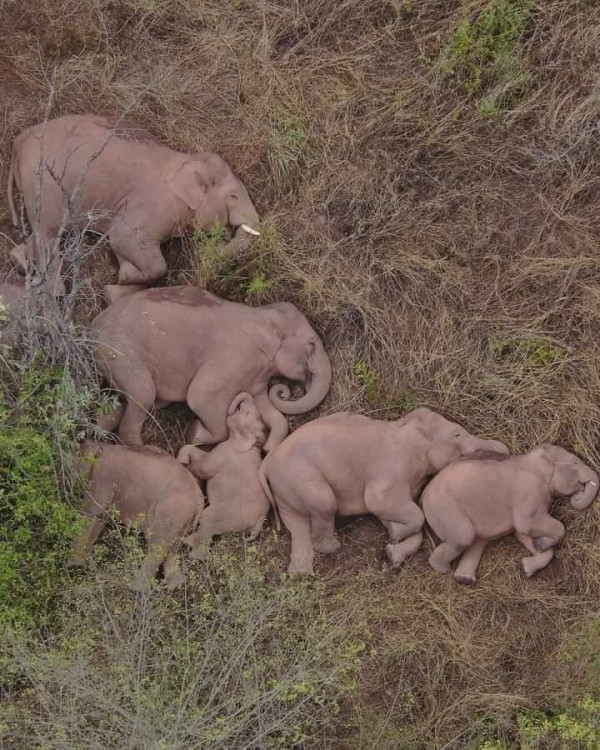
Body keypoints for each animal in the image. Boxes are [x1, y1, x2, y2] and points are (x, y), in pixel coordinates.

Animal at [7, 116, 260, 296]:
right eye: (233, 196)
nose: (207, 251)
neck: (186, 159)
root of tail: (17, 144)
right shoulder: (152, 205)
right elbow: (124, 239)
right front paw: (123, 278)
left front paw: (119, 284)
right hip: (44, 183)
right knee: (48, 232)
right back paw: (57, 292)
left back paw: (19, 260)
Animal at [67, 440, 204, 592]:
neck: (101, 445)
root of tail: (199, 498)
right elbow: (100, 517)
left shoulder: (104, 477)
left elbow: (91, 510)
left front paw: (74, 566)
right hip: (182, 517)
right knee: (170, 548)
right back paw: (174, 586)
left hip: (171, 510)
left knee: (156, 547)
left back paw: (136, 590)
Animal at [91, 286, 330, 452]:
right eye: (311, 345)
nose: (284, 390)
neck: (259, 313)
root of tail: (94, 325)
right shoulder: (234, 356)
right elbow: (199, 396)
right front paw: (194, 432)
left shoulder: (256, 376)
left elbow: (269, 408)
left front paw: (269, 447)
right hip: (120, 352)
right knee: (143, 393)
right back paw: (149, 450)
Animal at [177, 394, 274, 560]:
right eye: (251, 414)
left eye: (246, 414)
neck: (253, 445)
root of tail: (259, 522)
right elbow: (201, 455)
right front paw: (182, 459)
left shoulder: (225, 453)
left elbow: (203, 468)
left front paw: (183, 466)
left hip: (229, 515)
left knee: (207, 521)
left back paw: (191, 549)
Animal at [424, 444, 596, 584]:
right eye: (575, 462)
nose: (578, 493)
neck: (530, 458)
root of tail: (423, 496)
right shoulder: (529, 490)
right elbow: (527, 525)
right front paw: (541, 545)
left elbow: (523, 533)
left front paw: (531, 558)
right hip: (445, 509)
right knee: (464, 537)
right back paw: (444, 569)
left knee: (477, 541)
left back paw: (464, 579)